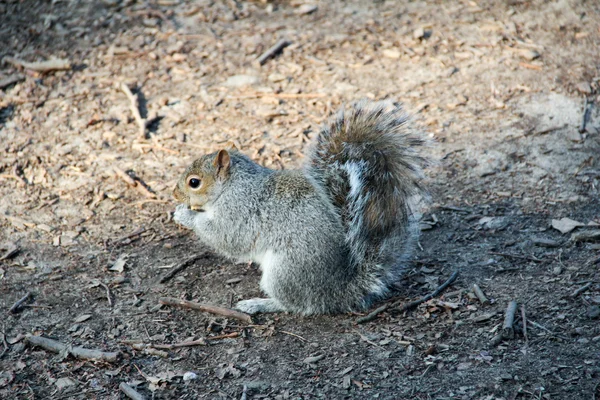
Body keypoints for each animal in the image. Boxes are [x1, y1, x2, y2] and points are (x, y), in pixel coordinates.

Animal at [173, 100, 432, 316]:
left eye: (194, 182)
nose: (174, 193)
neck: (233, 185)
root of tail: (339, 290)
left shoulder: (238, 210)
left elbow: (226, 237)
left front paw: (184, 215)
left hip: (285, 270)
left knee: (299, 305)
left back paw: (259, 304)